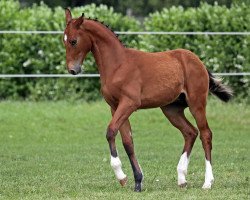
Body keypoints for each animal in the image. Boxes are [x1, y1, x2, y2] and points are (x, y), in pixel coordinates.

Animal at [62, 8, 232, 191]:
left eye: (73, 41)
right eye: (63, 41)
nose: (72, 70)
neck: (118, 65)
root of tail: (198, 61)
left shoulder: (129, 104)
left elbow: (111, 131)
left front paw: (122, 176)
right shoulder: (115, 107)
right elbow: (128, 141)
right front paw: (137, 181)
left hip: (196, 104)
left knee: (205, 134)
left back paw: (207, 182)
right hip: (171, 109)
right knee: (190, 132)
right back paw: (181, 178)